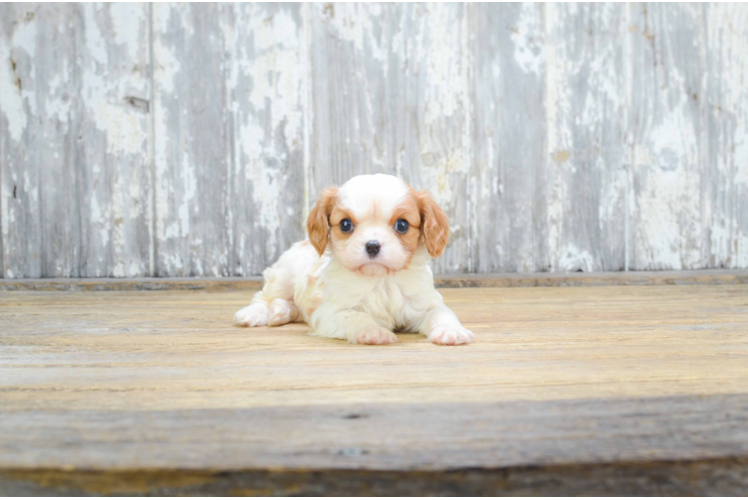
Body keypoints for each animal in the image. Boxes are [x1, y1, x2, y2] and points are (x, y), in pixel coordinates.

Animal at [235, 174, 474, 346]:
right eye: (345, 224)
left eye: (402, 225)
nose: (372, 245)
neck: (381, 280)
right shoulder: (330, 313)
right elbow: (355, 316)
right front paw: (374, 331)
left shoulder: (425, 302)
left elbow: (442, 314)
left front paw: (452, 331)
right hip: (282, 276)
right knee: (263, 297)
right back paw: (255, 313)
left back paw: (281, 311)